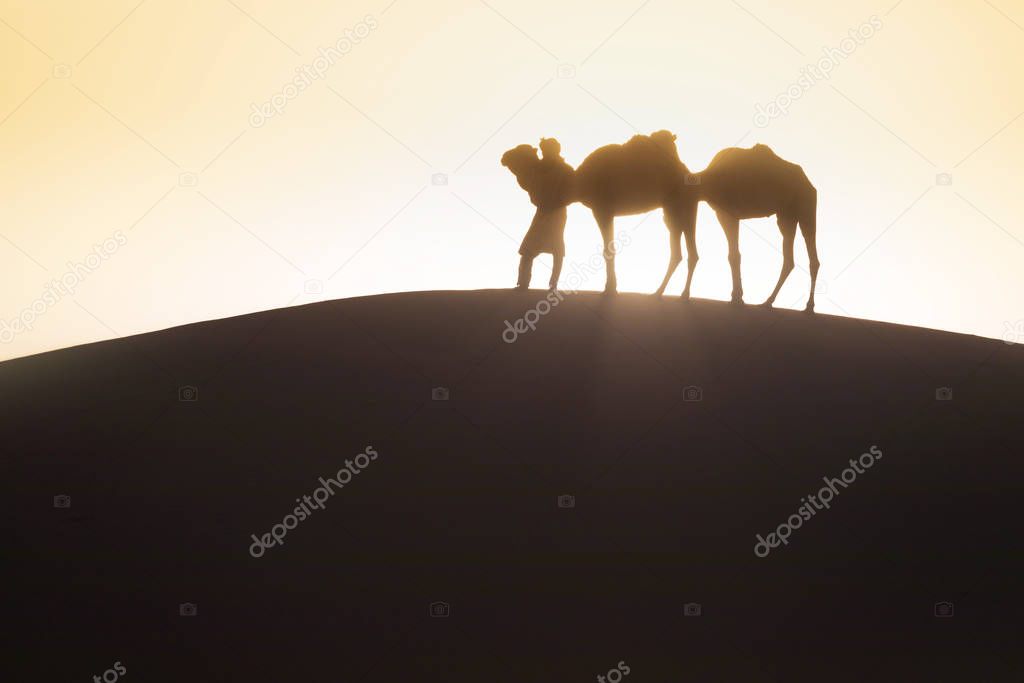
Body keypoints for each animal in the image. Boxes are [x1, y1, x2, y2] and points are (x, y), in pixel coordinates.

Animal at [499, 133, 819, 313]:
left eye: (526, 154)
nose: (504, 156)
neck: (578, 182)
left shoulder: (603, 208)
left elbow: (608, 250)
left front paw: (610, 290)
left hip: (797, 210)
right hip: (686, 211)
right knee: (687, 252)